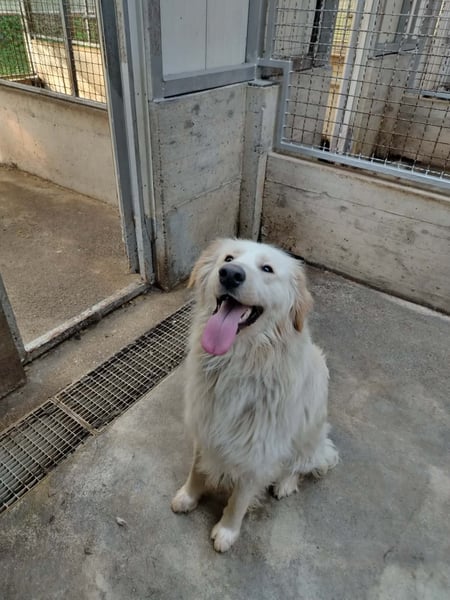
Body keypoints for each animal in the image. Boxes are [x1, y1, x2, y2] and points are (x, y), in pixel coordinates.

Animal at [171, 239, 338, 552]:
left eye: (267, 268)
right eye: (228, 258)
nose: (230, 274)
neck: (237, 364)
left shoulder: (258, 449)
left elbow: (239, 499)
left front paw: (227, 531)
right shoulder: (205, 423)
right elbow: (196, 469)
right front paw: (188, 497)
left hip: (311, 433)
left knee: (302, 462)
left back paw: (285, 483)